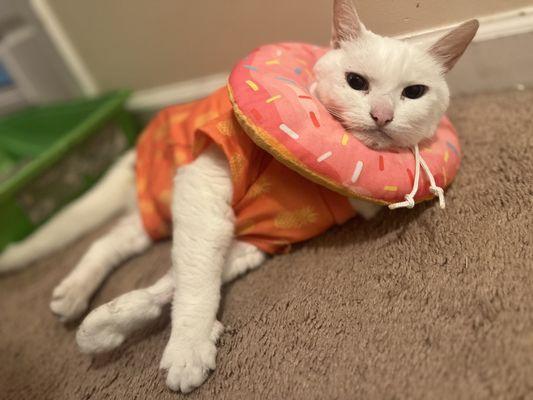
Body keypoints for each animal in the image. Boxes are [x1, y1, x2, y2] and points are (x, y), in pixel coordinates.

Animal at [0, 0, 478, 393]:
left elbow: (178, 279)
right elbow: (195, 278)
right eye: (356, 82)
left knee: (110, 241)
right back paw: (71, 292)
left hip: (152, 218)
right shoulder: (202, 191)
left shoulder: (260, 238)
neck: (313, 178)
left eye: (413, 92)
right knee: (108, 239)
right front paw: (186, 346)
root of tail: (134, 152)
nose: (382, 116)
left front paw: (113, 323)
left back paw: (73, 296)